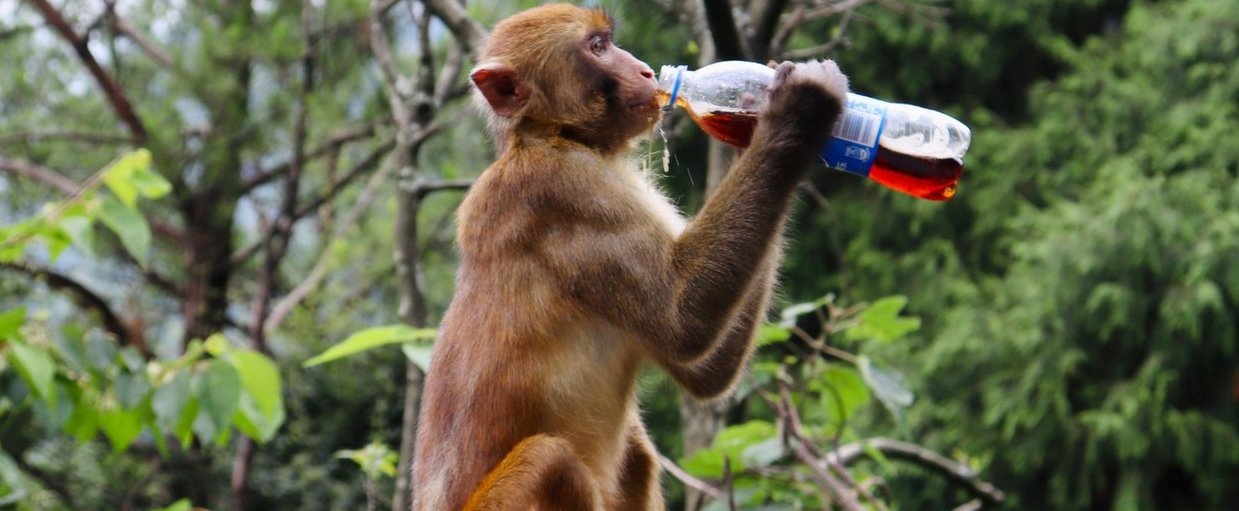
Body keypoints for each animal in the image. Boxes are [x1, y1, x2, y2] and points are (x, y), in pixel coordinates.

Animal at [411, 4, 847, 511]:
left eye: (610, 42)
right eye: (598, 47)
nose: (643, 69)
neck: (558, 136)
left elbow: (705, 373)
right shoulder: (563, 192)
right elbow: (683, 320)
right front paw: (801, 109)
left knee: (635, 453)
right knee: (550, 460)